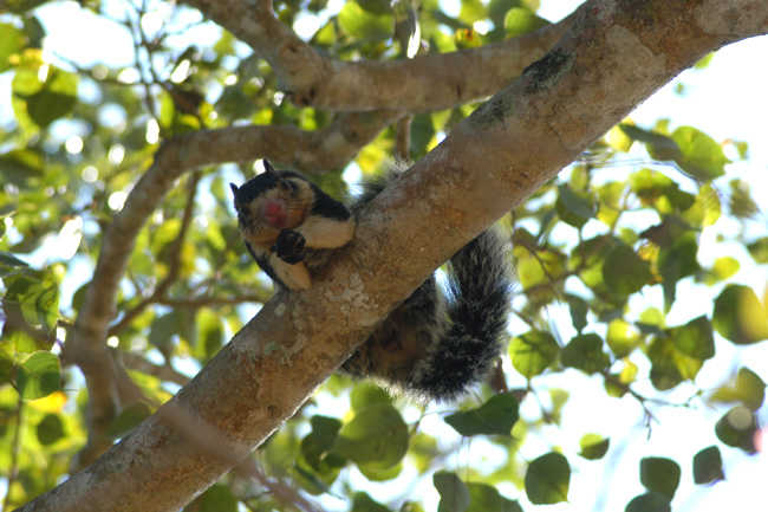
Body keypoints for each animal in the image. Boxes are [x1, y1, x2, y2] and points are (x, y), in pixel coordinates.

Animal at [231, 160, 512, 400]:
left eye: (284, 185)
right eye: (241, 211)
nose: (273, 212)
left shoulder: (320, 201)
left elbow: (340, 228)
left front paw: (296, 238)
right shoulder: (259, 251)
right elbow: (295, 279)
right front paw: (286, 250)